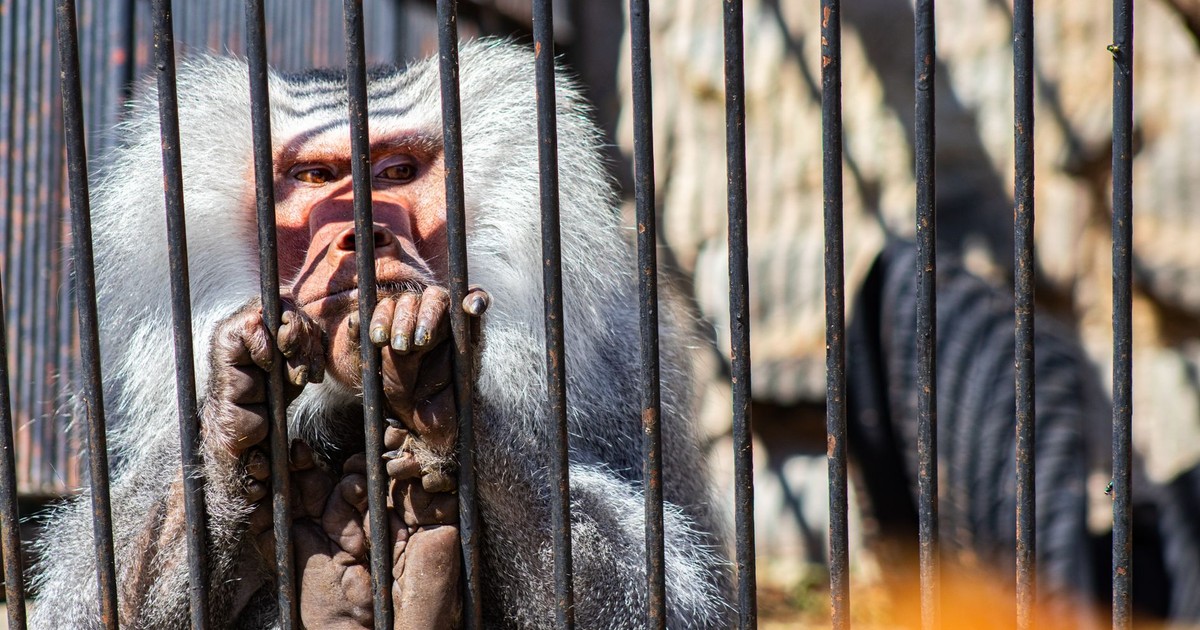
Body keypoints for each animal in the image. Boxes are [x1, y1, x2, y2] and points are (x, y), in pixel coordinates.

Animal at [30, 40, 731, 628]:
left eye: (395, 172)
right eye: (315, 177)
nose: (363, 235)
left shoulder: (629, 363)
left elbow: (668, 592)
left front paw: (436, 390)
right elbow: (86, 599)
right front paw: (237, 411)